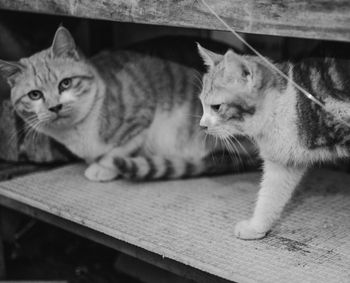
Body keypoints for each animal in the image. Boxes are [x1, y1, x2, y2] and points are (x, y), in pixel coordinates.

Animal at [197, 43, 350, 240]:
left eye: (217, 107)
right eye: (202, 104)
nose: (202, 125)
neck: (283, 104)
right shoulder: (283, 160)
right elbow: (270, 196)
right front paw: (256, 227)